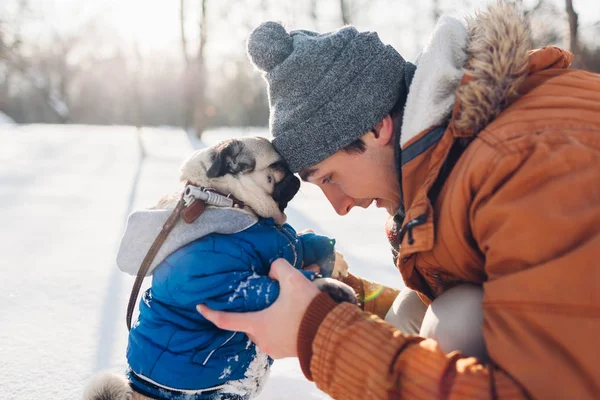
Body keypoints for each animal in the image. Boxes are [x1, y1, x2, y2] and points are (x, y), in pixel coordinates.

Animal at [86, 138, 354, 400]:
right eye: (279, 166)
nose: (295, 174)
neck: (225, 197)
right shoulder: (223, 277)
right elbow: (263, 288)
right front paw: (328, 287)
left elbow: (298, 243)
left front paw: (331, 256)